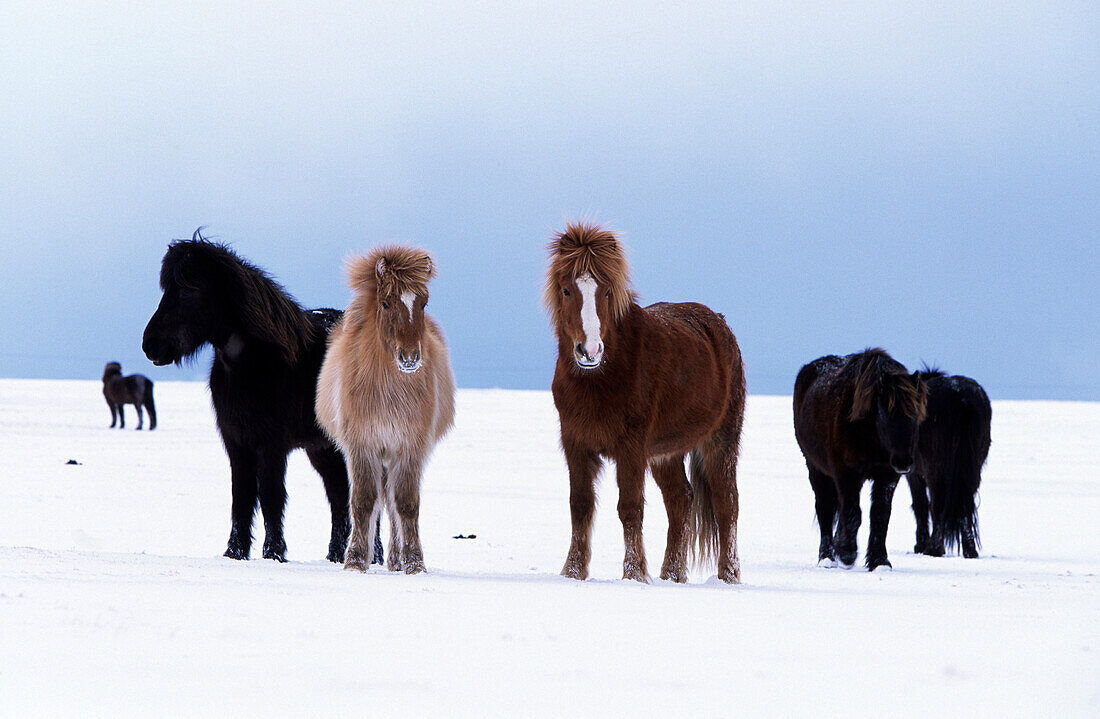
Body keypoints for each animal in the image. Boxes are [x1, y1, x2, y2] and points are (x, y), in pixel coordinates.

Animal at [143, 228, 382, 567]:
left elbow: (270, 496)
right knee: (338, 495)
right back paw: (335, 555)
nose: (150, 345)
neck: (254, 364)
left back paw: (374, 556)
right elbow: (241, 497)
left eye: (187, 291)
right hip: (323, 449)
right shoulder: (236, 442)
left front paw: (274, 553)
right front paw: (235, 552)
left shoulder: (272, 445)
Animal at [316, 246, 457, 576]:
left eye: (424, 302)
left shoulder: (409, 447)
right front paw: (355, 560)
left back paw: (396, 560)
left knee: (392, 502)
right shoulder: (362, 445)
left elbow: (405, 503)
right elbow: (363, 501)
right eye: (385, 302)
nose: (410, 358)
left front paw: (414, 563)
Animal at [543, 225, 748, 584]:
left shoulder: (631, 446)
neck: (602, 377)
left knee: (727, 502)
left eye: (607, 292)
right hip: (667, 452)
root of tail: (720, 325)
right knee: (681, 499)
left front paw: (635, 574)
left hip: (721, 439)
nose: (590, 351)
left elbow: (630, 507)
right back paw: (672, 574)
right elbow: (580, 505)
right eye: (567, 290)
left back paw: (728, 576)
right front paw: (572, 572)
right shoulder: (575, 442)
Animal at [792, 351, 928, 576]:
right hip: (816, 469)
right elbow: (853, 513)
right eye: (884, 413)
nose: (903, 462)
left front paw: (879, 561)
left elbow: (880, 515)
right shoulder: (846, 473)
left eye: (915, 413)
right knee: (825, 510)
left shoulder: (887, 476)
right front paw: (847, 553)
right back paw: (827, 557)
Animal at [906, 369, 994, 560]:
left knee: (937, 505)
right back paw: (970, 550)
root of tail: (962, 400)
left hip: (936, 471)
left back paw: (933, 549)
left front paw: (920, 545)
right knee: (965, 504)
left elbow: (920, 505)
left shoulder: (913, 474)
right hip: (972, 469)